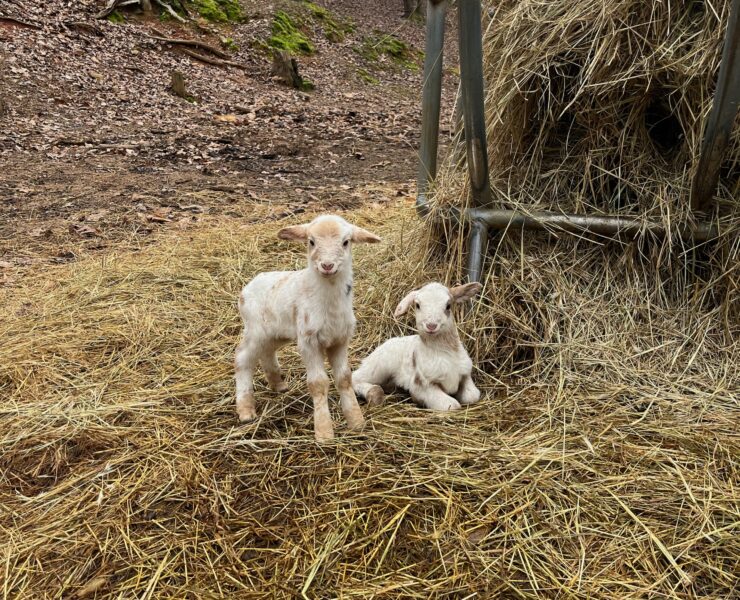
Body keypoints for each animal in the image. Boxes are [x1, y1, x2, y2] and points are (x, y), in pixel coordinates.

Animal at [235, 214, 381, 442]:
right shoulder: (309, 341)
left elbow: (344, 378)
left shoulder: (341, 339)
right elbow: (318, 383)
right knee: (242, 358)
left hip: (276, 332)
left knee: (267, 352)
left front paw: (356, 422)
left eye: (346, 242)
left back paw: (278, 385)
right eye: (311, 241)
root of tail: (249, 285)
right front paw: (324, 433)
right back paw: (246, 410)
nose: (327, 265)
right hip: (254, 329)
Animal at [352, 281, 482, 411]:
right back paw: (373, 393)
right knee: (356, 378)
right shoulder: (422, 385)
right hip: (378, 366)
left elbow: (472, 396)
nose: (431, 325)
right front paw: (416, 399)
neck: (445, 353)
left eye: (448, 305)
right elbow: (452, 405)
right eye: (418, 305)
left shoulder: (465, 373)